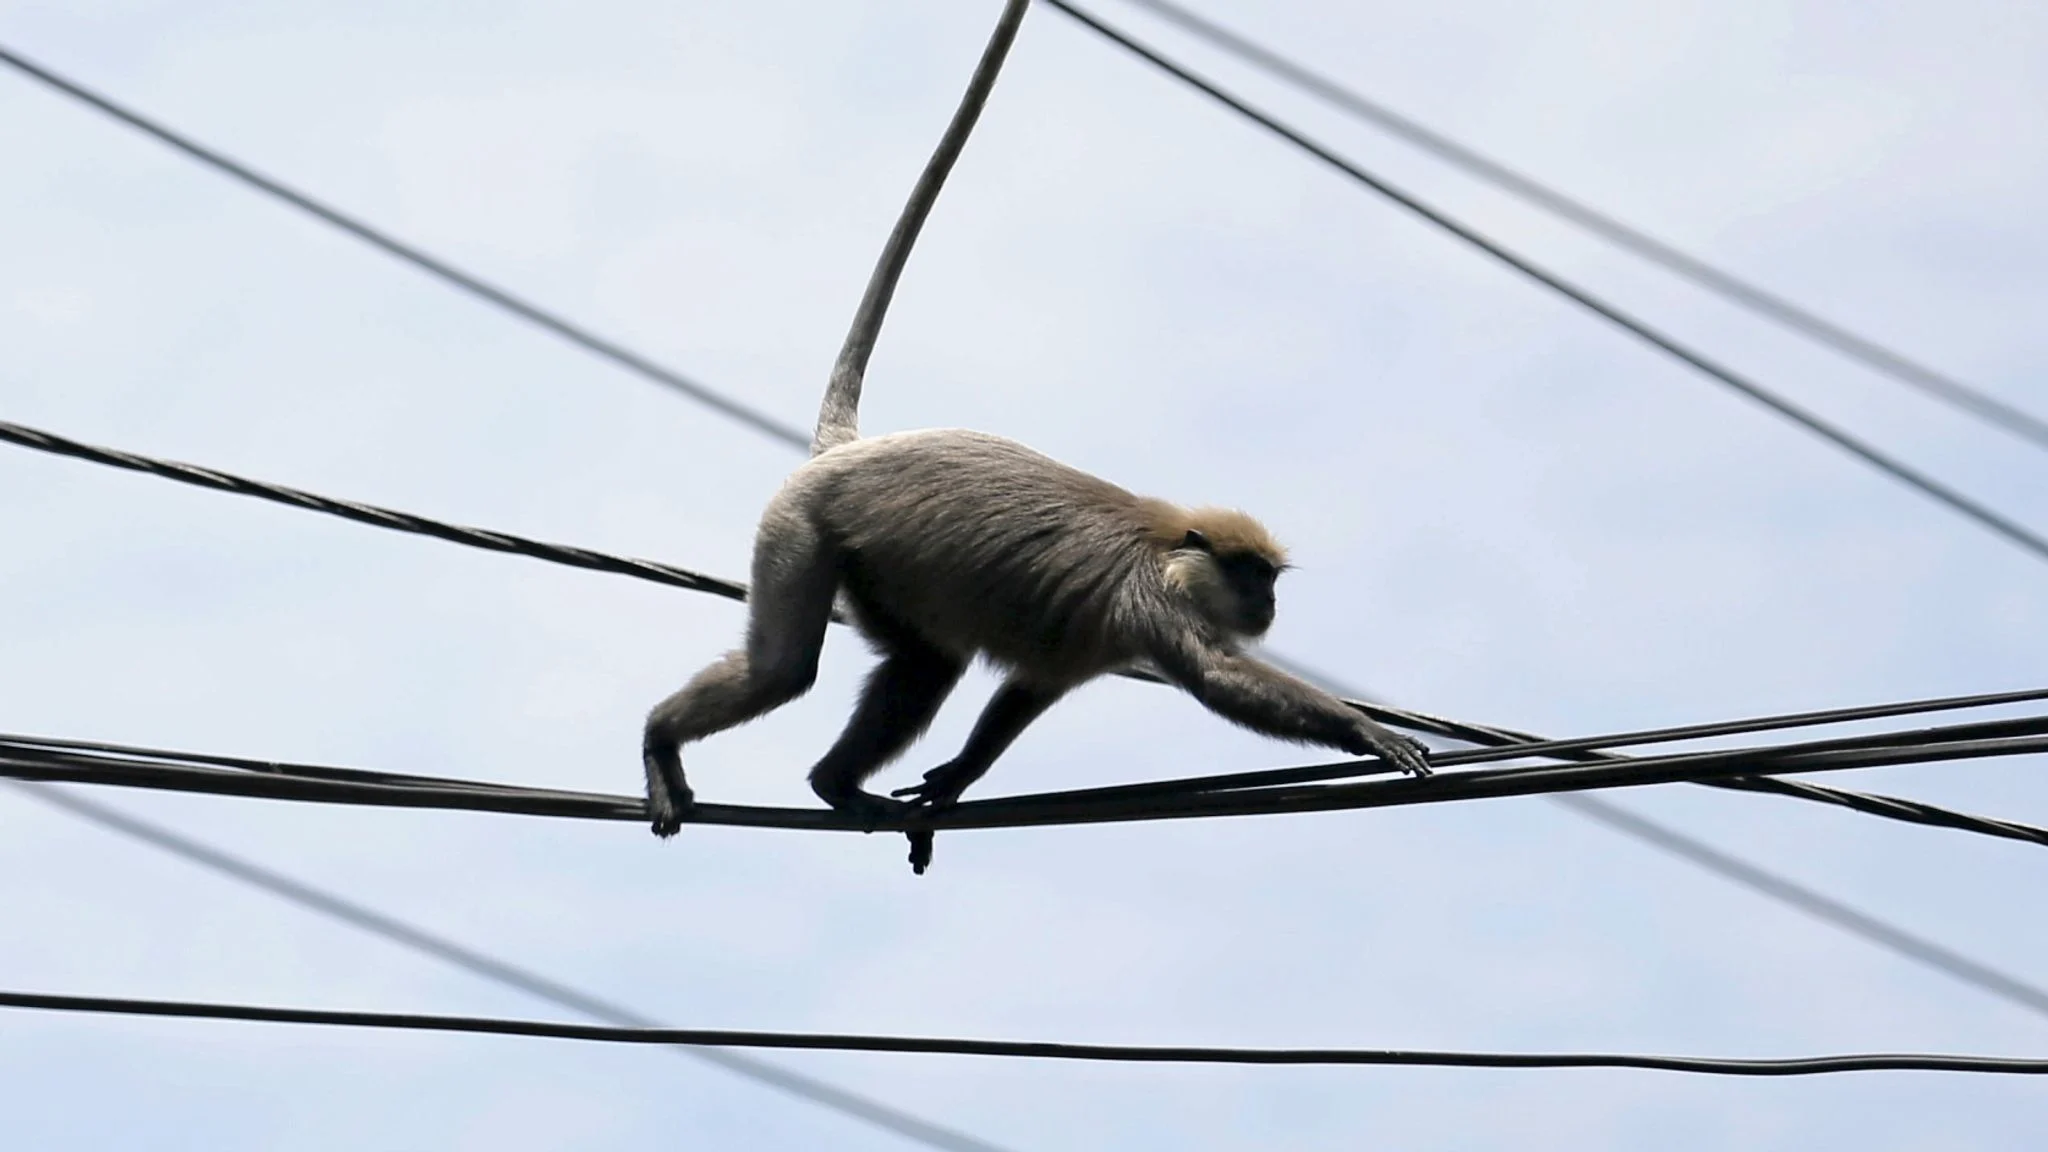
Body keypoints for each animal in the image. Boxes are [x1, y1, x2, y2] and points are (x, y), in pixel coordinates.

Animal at [639, 0, 1430, 853]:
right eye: (1253, 575)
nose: (1268, 605)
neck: (1170, 552)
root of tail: (852, 450)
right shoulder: (1149, 605)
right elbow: (1219, 678)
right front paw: (1363, 731)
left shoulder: (1097, 637)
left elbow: (1030, 689)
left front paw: (955, 778)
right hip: (799, 525)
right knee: (786, 669)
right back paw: (662, 738)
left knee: (924, 666)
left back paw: (834, 785)